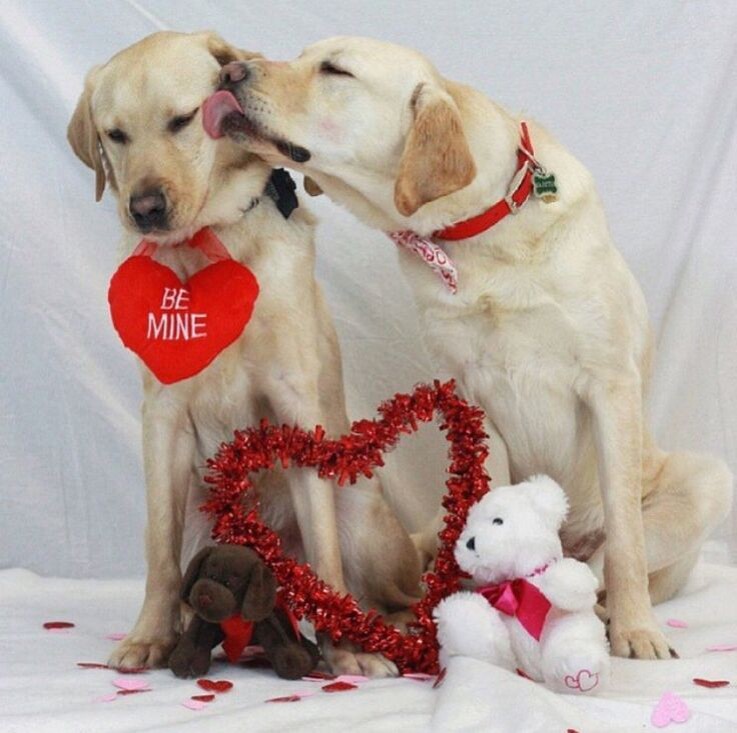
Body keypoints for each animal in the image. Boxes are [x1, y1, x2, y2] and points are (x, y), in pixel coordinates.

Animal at [67, 31, 420, 677]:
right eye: (116, 134)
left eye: (183, 120)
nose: (144, 208)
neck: (208, 246)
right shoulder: (163, 418)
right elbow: (158, 551)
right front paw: (150, 636)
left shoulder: (294, 401)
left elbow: (327, 558)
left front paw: (346, 651)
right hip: (200, 515)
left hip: (360, 514)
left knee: (393, 591)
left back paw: (383, 630)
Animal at [201, 36, 733, 659]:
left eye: (335, 70)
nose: (228, 72)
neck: (483, 236)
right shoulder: (473, 398)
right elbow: (488, 507)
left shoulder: (610, 384)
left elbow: (627, 539)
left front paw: (636, 631)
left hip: (707, 479)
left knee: (605, 560)